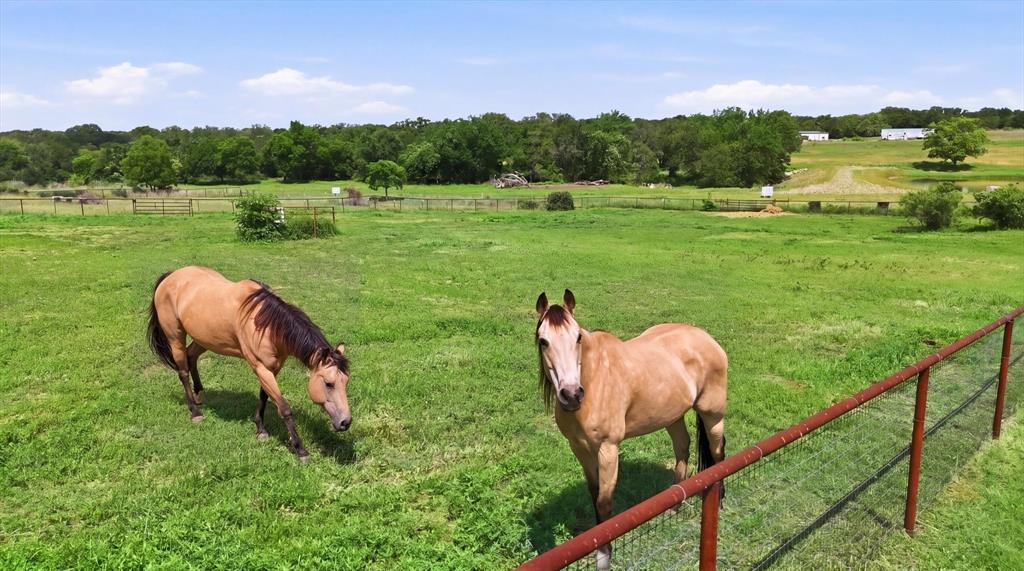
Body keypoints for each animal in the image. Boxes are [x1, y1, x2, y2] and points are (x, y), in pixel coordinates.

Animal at [147, 266, 351, 462]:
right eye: (329, 383)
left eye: (346, 382)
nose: (345, 422)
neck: (266, 325)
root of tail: (171, 276)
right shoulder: (261, 367)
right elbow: (284, 408)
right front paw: (300, 450)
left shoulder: (272, 368)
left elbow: (263, 396)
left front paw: (260, 429)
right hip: (175, 337)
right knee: (182, 372)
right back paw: (195, 411)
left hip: (204, 339)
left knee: (191, 357)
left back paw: (199, 394)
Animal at [534, 290, 728, 570]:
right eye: (543, 341)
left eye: (578, 337)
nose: (571, 395)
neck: (593, 379)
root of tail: (707, 338)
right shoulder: (580, 449)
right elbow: (594, 493)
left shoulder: (608, 449)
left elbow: (605, 501)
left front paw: (604, 556)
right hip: (673, 416)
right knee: (682, 447)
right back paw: (674, 508)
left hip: (713, 414)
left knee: (718, 453)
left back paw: (720, 498)